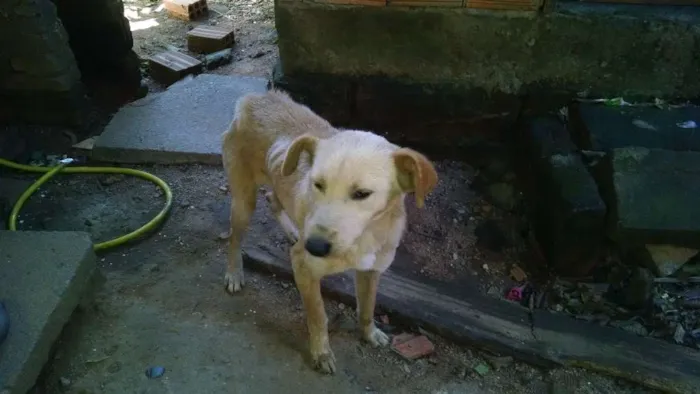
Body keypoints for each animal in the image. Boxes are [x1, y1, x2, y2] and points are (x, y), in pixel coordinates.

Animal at [220, 90, 438, 376]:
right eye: (317, 184)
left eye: (362, 193)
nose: (314, 246)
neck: (364, 237)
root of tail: (255, 97)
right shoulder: (304, 267)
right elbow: (318, 316)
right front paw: (321, 353)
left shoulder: (372, 271)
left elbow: (367, 307)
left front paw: (369, 334)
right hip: (243, 202)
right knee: (235, 238)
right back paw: (234, 273)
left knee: (274, 199)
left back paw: (292, 231)